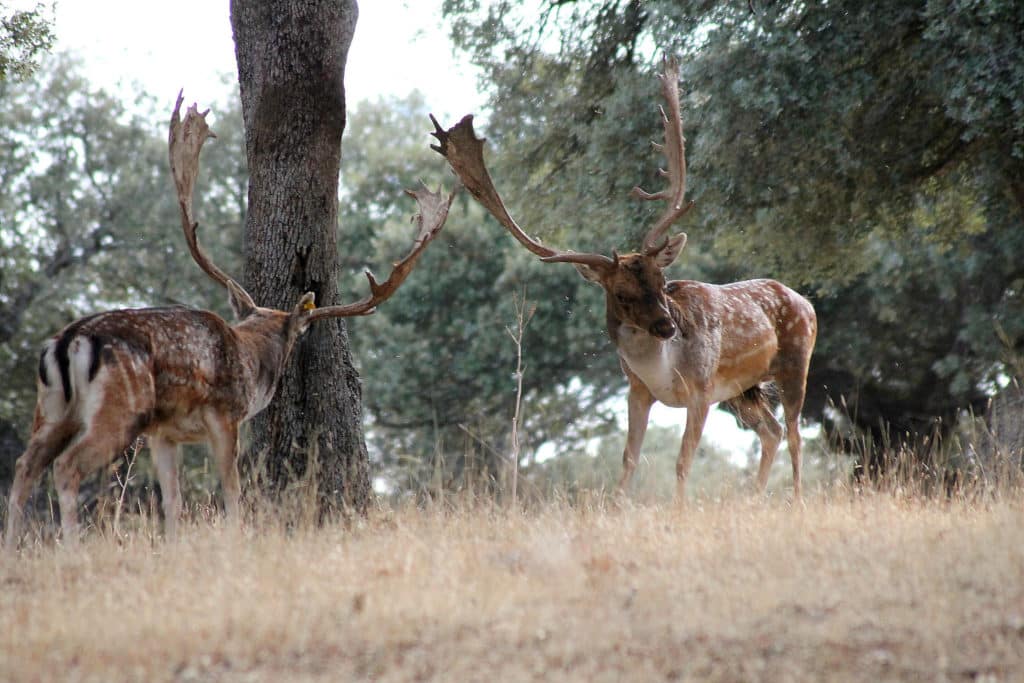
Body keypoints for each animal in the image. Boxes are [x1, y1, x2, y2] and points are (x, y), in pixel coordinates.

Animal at [4, 94, 452, 548]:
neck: (251, 359)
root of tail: (68, 342)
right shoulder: (224, 414)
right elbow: (232, 490)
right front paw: (237, 536)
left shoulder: (164, 432)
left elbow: (173, 501)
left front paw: (173, 546)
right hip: (121, 408)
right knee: (66, 466)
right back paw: (71, 546)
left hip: (52, 409)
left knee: (25, 465)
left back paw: (13, 546)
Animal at [432, 57, 815, 497]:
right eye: (621, 293)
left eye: (663, 283)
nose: (667, 327)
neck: (662, 369)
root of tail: (806, 301)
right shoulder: (638, 390)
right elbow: (628, 461)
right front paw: (617, 504)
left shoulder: (701, 389)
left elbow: (682, 463)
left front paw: (679, 508)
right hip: (742, 389)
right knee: (771, 431)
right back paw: (754, 497)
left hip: (795, 360)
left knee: (794, 434)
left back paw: (796, 500)